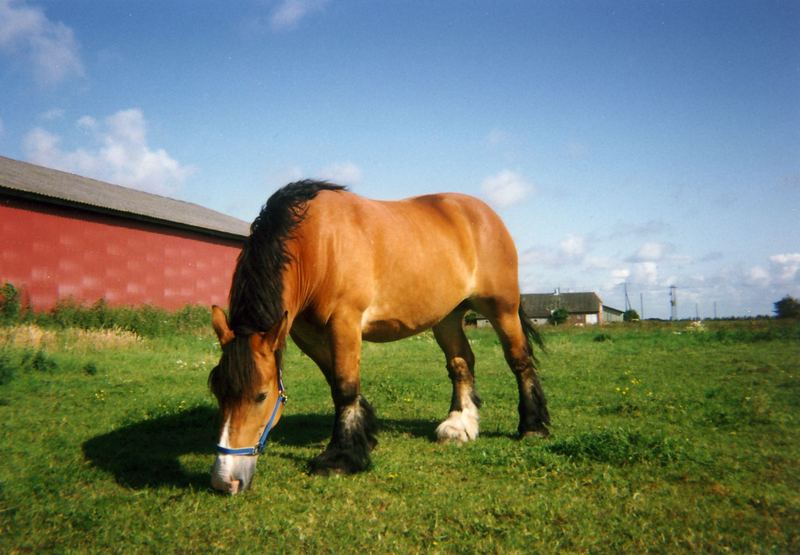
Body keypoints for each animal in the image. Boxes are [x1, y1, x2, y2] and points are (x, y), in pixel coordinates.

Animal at [208, 181, 552, 496]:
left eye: (261, 395)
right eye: (217, 391)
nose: (226, 481)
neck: (317, 244)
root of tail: (484, 213)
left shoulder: (344, 322)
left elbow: (345, 387)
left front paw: (341, 457)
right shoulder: (306, 333)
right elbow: (336, 381)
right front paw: (366, 435)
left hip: (502, 308)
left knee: (519, 359)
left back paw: (533, 427)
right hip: (447, 317)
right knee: (462, 363)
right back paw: (460, 425)